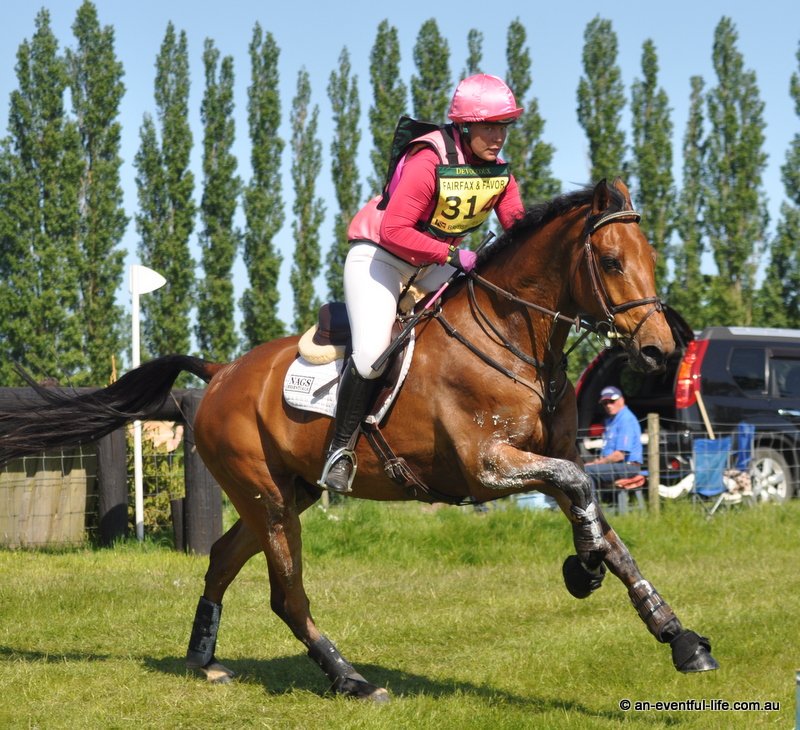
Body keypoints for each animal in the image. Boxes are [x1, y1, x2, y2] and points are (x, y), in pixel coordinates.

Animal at [0, 176, 720, 700]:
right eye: (611, 260)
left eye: (650, 258)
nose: (659, 350)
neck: (511, 339)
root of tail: (220, 370)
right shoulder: (489, 468)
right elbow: (582, 496)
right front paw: (583, 569)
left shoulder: (552, 456)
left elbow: (605, 523)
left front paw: (677, 635)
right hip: (268, 498)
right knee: (286, 594)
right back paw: (349, 678)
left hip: (288, 491)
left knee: (223, 559)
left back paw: (202, 658)